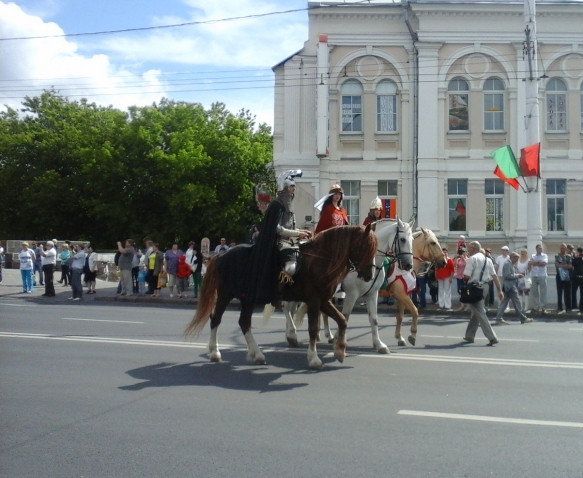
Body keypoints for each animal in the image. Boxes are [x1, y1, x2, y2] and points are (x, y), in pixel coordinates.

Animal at [185, 224, 380, 370]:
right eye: (364, 247)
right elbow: (313, 328)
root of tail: (222, 255)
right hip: (226, 295)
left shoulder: (324, 301)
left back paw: (256, 354)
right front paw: (314, 359)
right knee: (216, 319)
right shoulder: (314, 301)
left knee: (244, 322)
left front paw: (339, 352)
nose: (369, 275)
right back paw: (215, 353)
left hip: (247, 298)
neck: (320, 260)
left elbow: (342, 320)